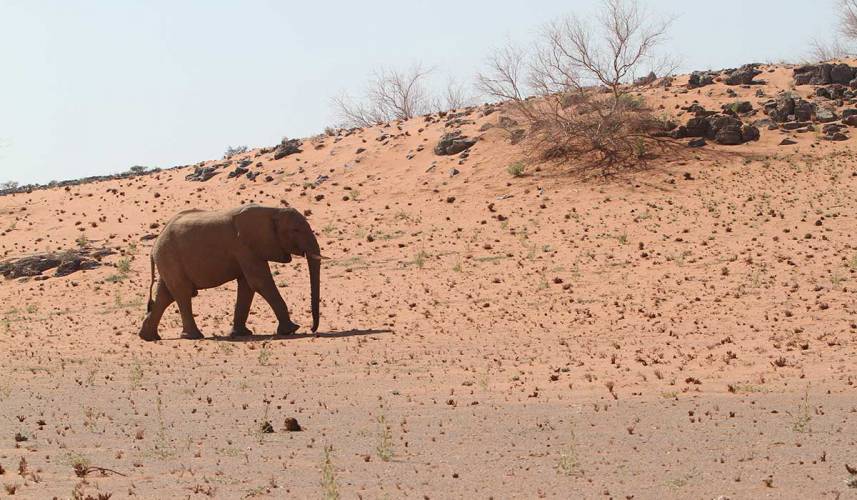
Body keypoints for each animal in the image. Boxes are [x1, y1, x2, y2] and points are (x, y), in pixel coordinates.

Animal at [138, 204, 323, 341]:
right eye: (296, 230)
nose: (312, 328)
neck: (272, 211)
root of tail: (154, 245)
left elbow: (247, 286)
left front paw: (241, 334)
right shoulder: (243, 247)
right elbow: (260, 282)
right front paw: (291, 330)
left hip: (169, 261)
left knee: (166, 295)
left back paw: (149, 337)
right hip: (170, 257)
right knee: (182, 293)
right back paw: (193, 336)